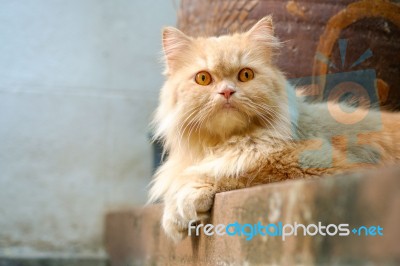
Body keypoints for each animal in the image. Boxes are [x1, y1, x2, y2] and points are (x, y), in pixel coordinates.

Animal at [148, 16, 400, 241]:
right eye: (203, 78)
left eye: (245, 75)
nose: (227, 91)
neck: (230, 142)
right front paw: (174, 216)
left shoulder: (326, 169)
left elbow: (237, 173)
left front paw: (184, 201)